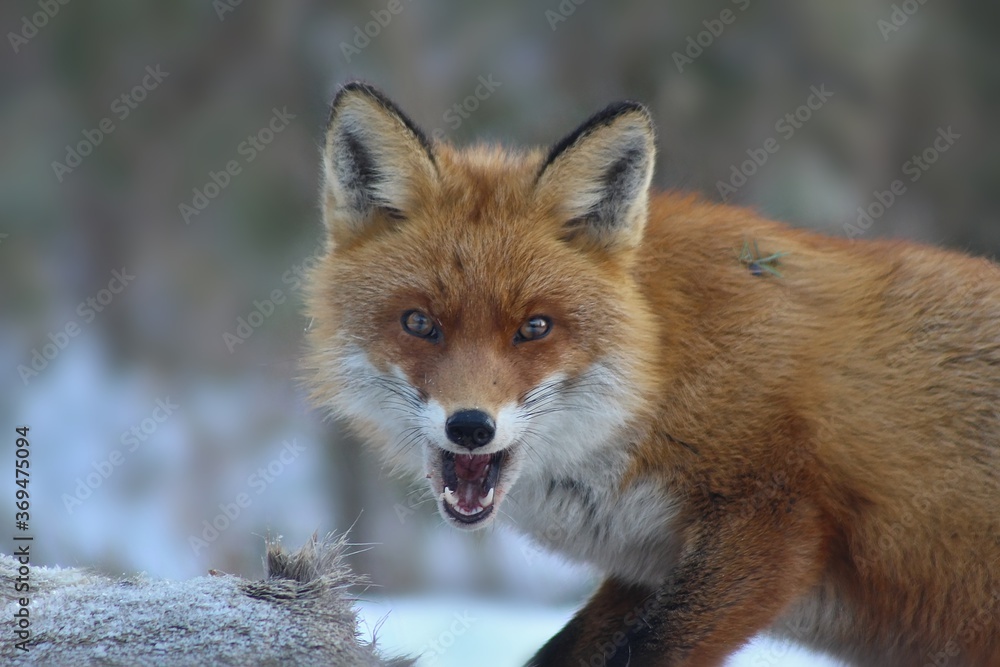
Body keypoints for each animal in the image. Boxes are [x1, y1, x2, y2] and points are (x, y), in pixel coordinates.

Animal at [303, 81, 1000, 666]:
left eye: (535, 327)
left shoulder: (776, 523)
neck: (662, 371)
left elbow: (652, 653)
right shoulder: (651, 568)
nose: (471, 427)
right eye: (420, 323)